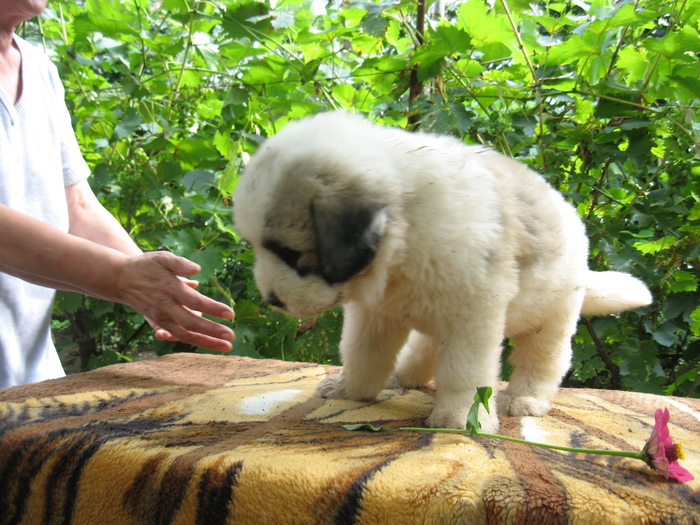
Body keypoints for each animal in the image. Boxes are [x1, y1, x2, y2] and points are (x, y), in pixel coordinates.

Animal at [234, 110, 652, 430]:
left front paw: (459, 418)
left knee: (543, 361)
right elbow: (363, 353)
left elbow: (463, 371)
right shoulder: (375, 313)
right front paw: (350, 390)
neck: (406, 235)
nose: (271, 298)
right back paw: (406, 376)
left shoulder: (473, 316)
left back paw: (526, 399)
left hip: (551, 317)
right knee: (427, 346)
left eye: (289, 253)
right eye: (256, 246)